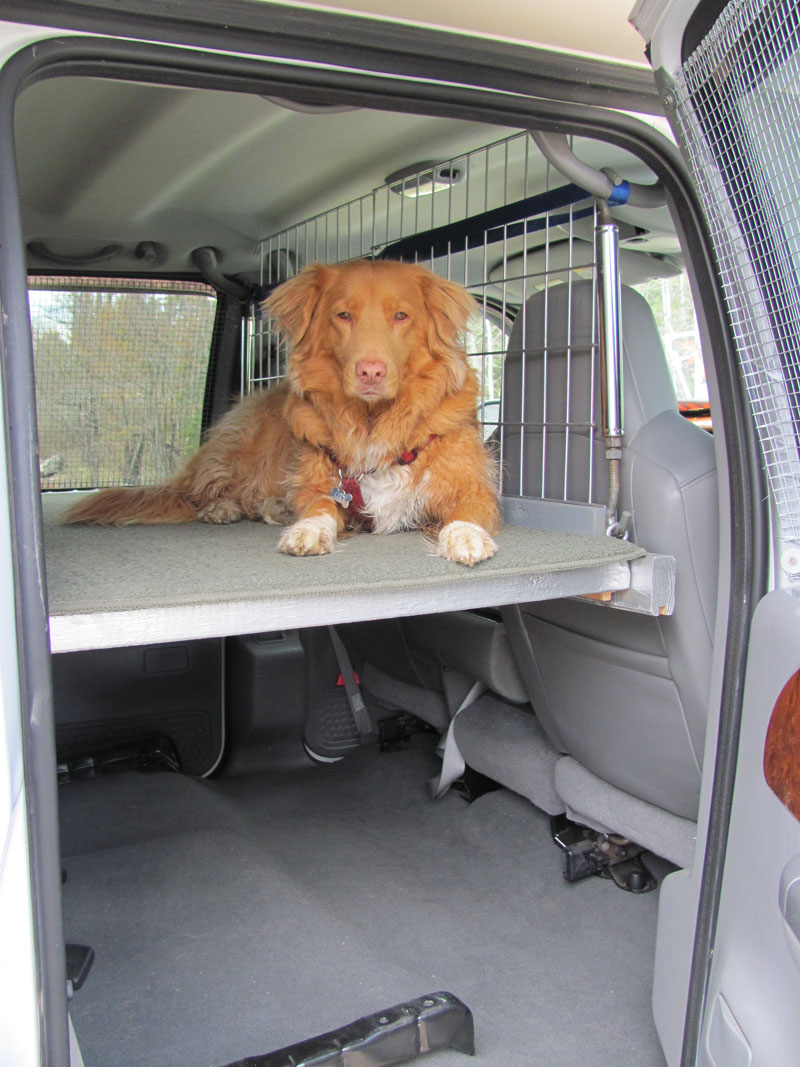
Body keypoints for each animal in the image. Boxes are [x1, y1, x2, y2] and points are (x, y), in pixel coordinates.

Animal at [64, 256, 501, 567]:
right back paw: (222, 508)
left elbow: (466, 511)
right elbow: (319, 505)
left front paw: (464, 535)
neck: (373, 420)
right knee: (204, 492)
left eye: (401, 316)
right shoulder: (322, 481)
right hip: (240, 447)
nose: (370, 371)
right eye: (343, 315)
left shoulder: (472, 486)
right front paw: (307, 528)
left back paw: (272, 507)